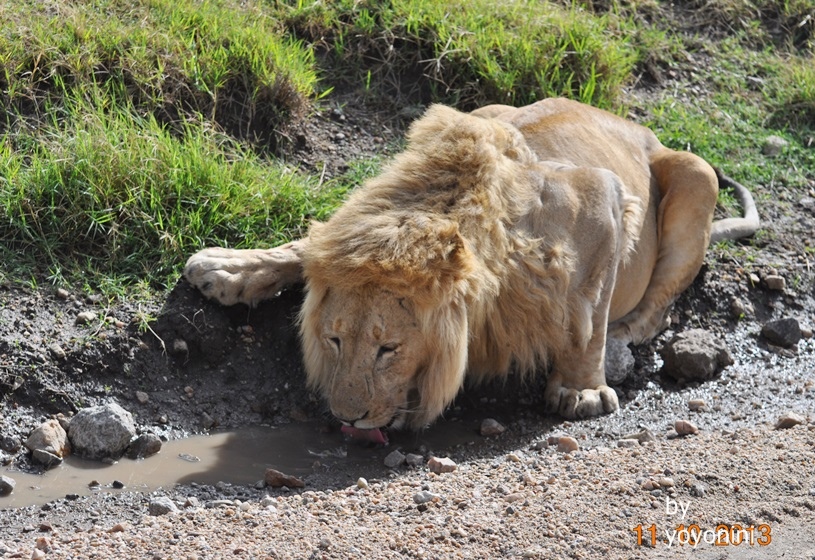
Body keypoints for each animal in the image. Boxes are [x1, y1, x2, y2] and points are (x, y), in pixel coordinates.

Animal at [183, 98, 760, 436]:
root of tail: (641, 130)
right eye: (334, 340)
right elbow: (308, 246)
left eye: (389, 349)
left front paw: (581, 390)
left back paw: (622, 341)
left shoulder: (602, 195)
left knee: (655, 307)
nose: (347, 416)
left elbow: (589, 315)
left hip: (696, 173)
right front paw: (231, 268)